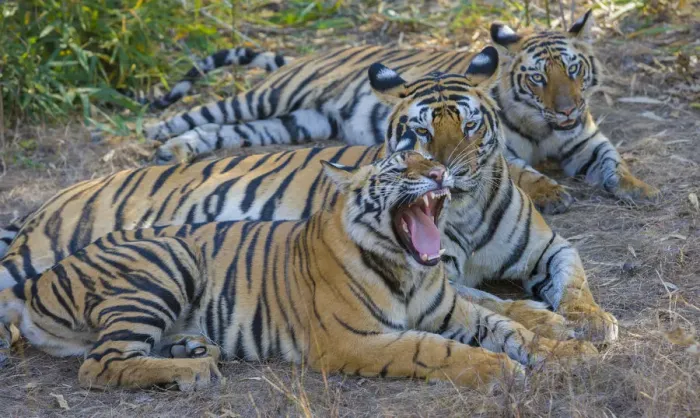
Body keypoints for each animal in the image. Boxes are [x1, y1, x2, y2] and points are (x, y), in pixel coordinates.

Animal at [0, 47, 618, 348]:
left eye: (468, 126)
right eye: (419, 133)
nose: (446, 172)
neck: (464, 209)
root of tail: (46, 204)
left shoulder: (550, 248)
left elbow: (577, 282)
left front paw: (592, 322)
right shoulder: (438, 274)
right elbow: (498, 302)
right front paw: (545, 321)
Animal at [0, 151, 598, 390]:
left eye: (429, 159)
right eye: (397, 167)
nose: (439, 173)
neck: (409, 268)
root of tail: (36, 281)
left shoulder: (454, 309)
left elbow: (510, 326)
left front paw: (571, 352)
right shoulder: (356, 340)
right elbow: (434, 350)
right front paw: (502, 370)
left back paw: (193, 350)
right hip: (164, 262)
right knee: (100, 365)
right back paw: (193, 372)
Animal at [140, 9, 658, 215]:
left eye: (573, 70)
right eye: (537, 79)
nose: (568, 109)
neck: (543, 123)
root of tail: (312, 54)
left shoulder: (585, 140)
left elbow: (614, 161)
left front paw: (640, 188)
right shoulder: (499, 151)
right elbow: (526, 172)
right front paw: (551, 193)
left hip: (295, 122)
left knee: (226, 131)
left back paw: (176, 149)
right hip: (271, 98)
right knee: (208, 109)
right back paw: (158, 131)